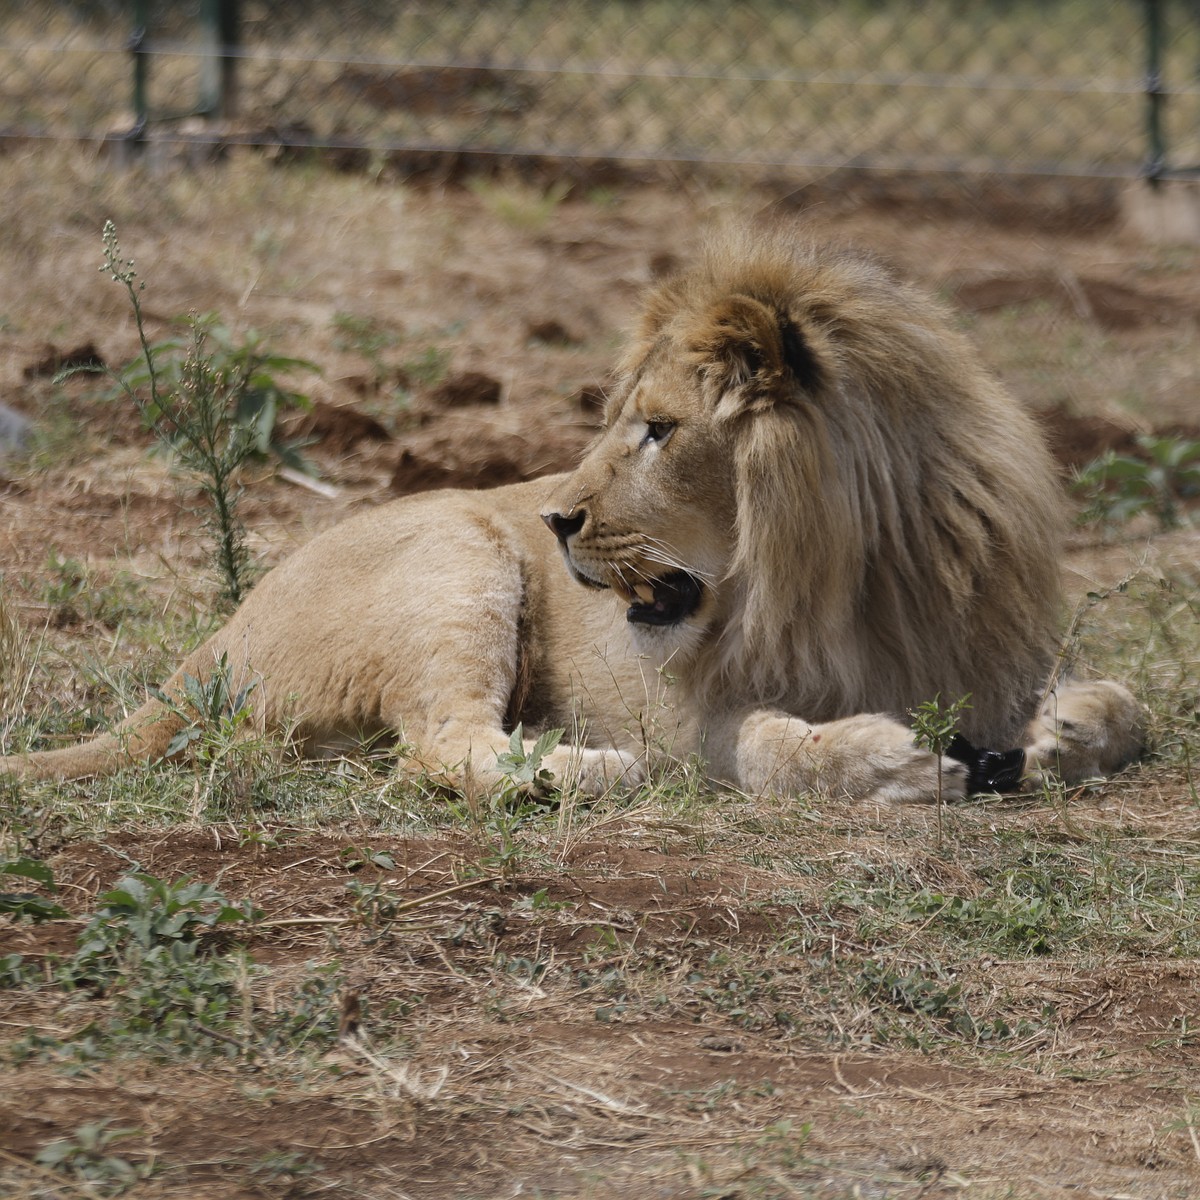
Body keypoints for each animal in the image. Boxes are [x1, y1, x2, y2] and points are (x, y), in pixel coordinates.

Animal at [0, 229, 1142, 801]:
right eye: (619, 421)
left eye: (660, 430)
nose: (553, 520)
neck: (855, 583)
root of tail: (204, 653)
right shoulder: (686, 712)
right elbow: (770, 746)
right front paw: (888, 762)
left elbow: (1129, 706)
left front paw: (1062, 730)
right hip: (455, 554)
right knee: (438, 746)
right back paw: (584, 769)